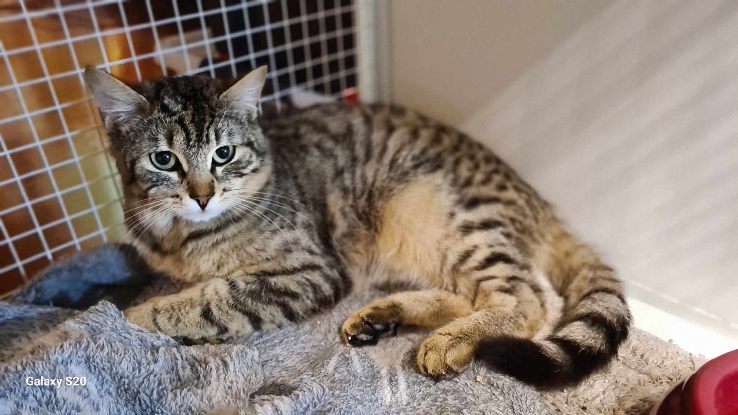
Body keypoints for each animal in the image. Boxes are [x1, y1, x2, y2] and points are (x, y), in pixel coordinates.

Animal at [84, 66, 631, 388]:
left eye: (224, 153)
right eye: (163, 159)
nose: (202, 196)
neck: (181, 236)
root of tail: (538, 201)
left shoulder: (307, 272)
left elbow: (207, 301)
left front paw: (123, 318)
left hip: (453, 218)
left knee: (525, 299)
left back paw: (451, 339)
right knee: (469, 295)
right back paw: (383, 317)